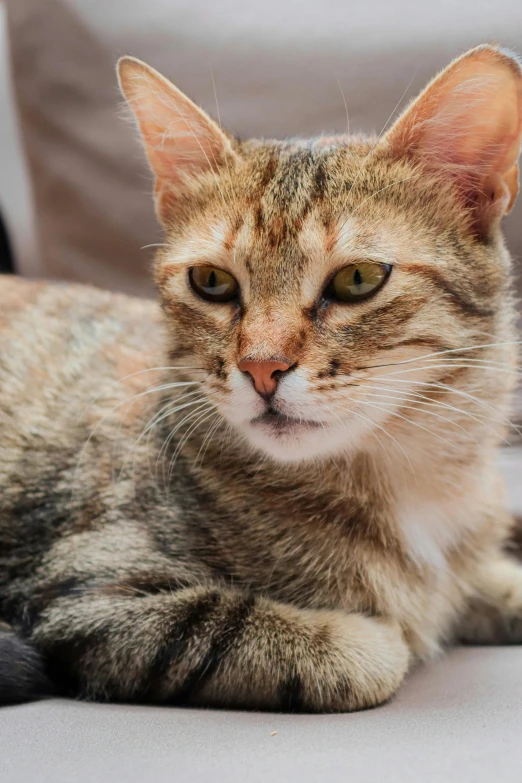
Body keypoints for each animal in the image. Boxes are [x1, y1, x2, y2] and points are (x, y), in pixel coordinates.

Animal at [1, 43, 520, 712]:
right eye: (211, 282)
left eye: (357, 279)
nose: (261, 367)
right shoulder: (92, 596)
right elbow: (289, 638)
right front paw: (386, 632)